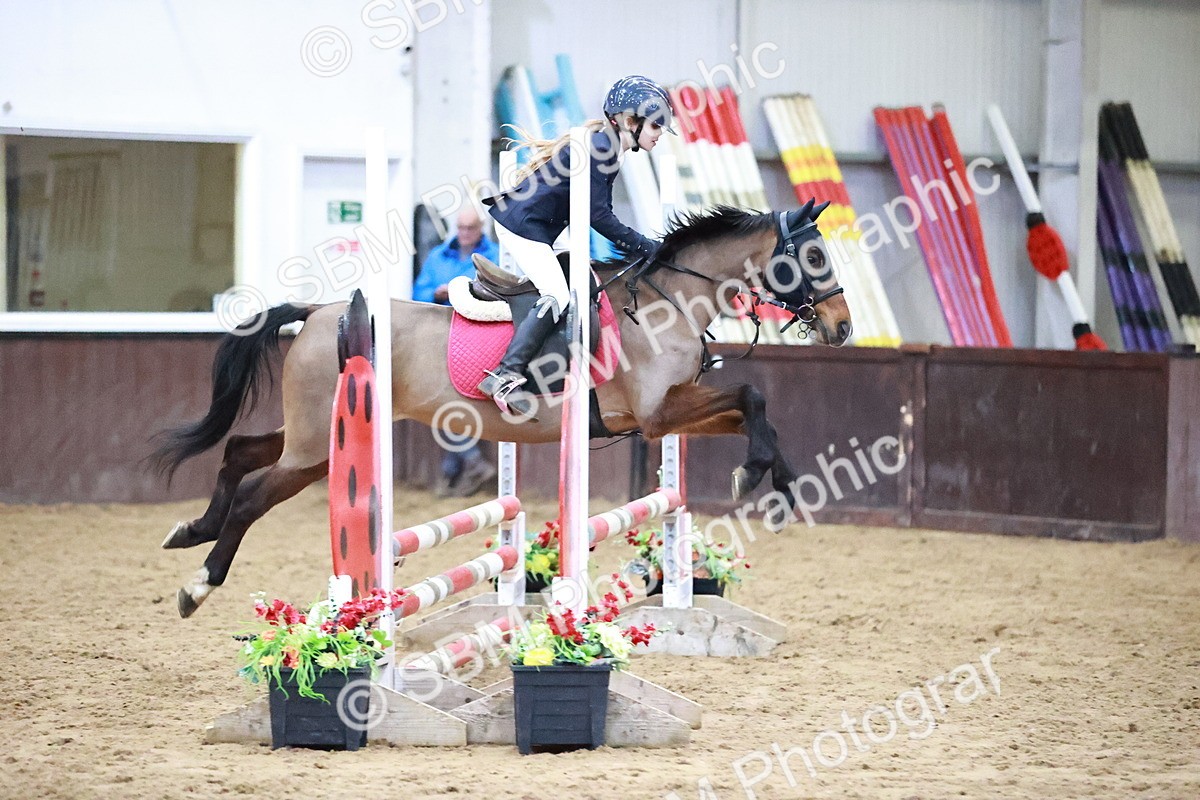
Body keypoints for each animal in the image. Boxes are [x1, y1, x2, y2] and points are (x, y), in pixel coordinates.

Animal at [154, 201, 852, 617]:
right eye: (814, 256)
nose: (843, 329)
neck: (669, 302)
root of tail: (323, 311)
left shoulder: (668, 414)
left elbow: (754, 406)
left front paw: (779, 482)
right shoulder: (658, 415)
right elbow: (751, 395)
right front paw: (757, 473)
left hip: (309, 436)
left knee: (239, 451)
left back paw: (192, 529)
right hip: (316, 449)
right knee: (254, 493)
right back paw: (199, 582)